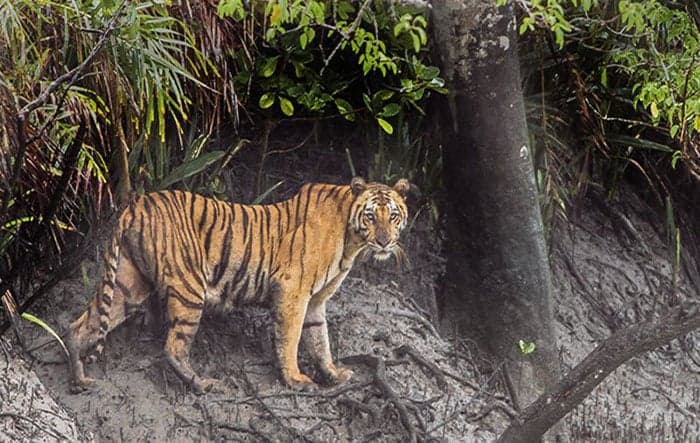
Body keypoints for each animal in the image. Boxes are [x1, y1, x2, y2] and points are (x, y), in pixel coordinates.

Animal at [66, 177, 410, 394]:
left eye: (393, 216)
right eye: (371, 216)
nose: (384, 241)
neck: (351, 241)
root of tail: (136, 205)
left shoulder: (315, 301)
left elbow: (319, 340)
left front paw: (334, 374)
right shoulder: (293, 291)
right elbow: (291, 338)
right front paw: (296, 380)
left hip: (128, 283)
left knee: (80, 325)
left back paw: (78, 378)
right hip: (190, 288)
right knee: (173, 347)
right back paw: (202, 384)